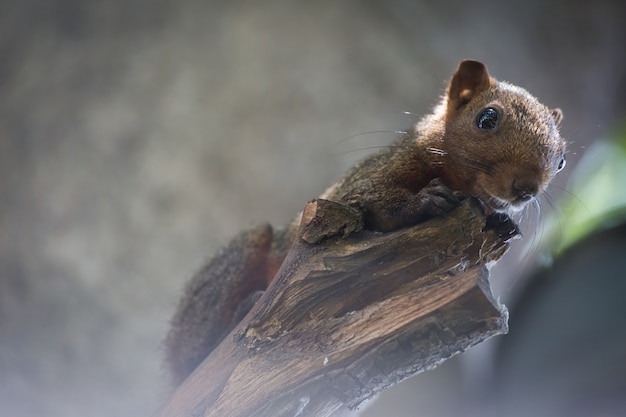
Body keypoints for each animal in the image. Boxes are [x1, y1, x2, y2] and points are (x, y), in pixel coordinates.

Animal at [163, 60, 564, 386]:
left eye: (560, 160)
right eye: (487, 118)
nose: (526, 188)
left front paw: (503, 222)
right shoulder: (363, 183)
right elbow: (374, 202)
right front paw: (426, 200)